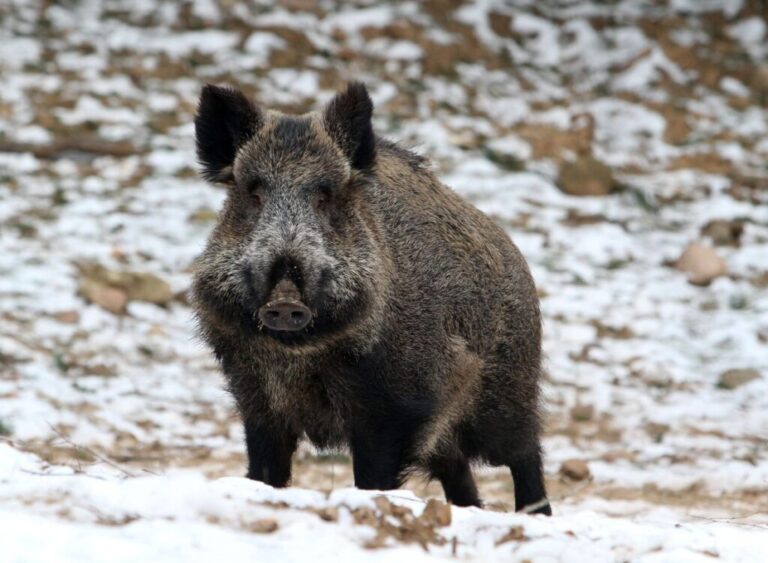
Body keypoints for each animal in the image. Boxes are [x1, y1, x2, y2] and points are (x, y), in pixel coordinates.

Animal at [192, 82, 551, 514]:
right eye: (254, 193)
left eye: (325, 196)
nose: (285, 302)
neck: (300, 355)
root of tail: (515, 255)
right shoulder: (255, 396)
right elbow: (265, 470)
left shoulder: (395, 406)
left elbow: (373, 477)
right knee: (460, 475)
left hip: (507, 391)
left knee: (525, 453)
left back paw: (538, 515)